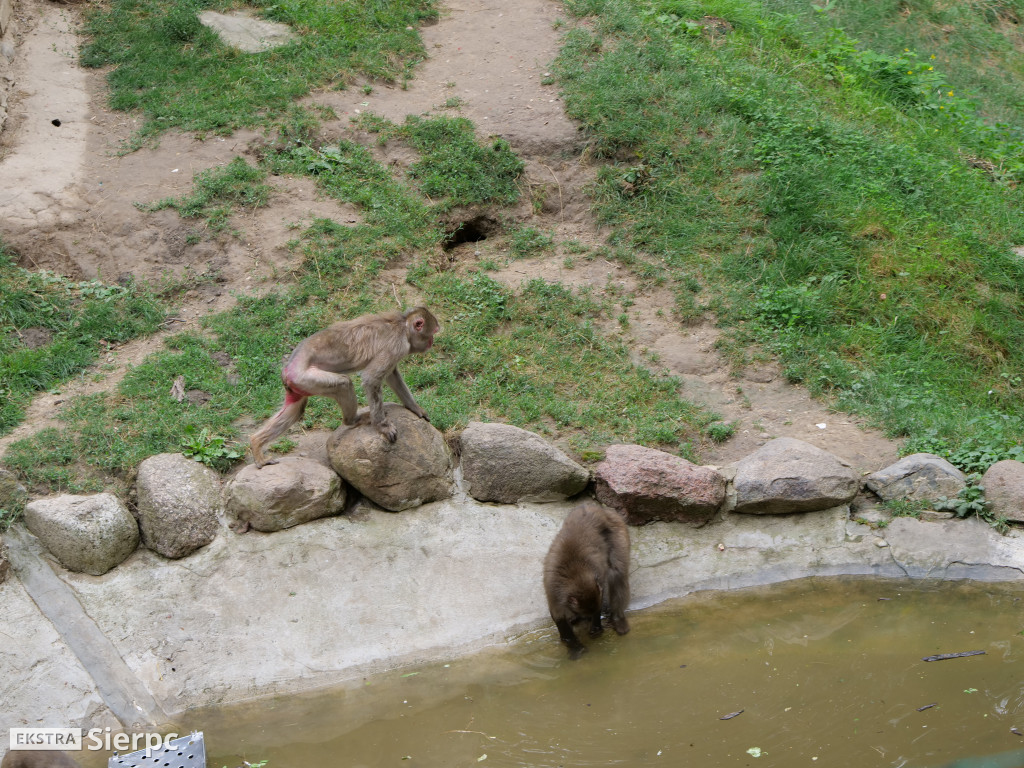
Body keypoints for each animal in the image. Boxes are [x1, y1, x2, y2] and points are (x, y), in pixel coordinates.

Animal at [250, 307, 440, 468]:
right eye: (432, 333)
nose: (432, 342)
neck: (403, 326)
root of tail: (288, 368)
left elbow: (392, 375)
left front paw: (415, 408)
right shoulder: (397, 346)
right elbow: (371, 379)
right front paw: (382, 426)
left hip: (297, 385)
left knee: (295, 409)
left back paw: (256, 444)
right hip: (305, 377)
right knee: (344, 384)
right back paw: (352, 420)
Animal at [544, 499, 630, 663]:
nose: (589, 617)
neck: (575, 574)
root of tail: (597, 508)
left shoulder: (598, 581)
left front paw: (596, 628)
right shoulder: (553, 589)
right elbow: (559, 617)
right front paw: (574, 646)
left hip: (617, 528)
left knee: (617, 572)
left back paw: (618, 618)